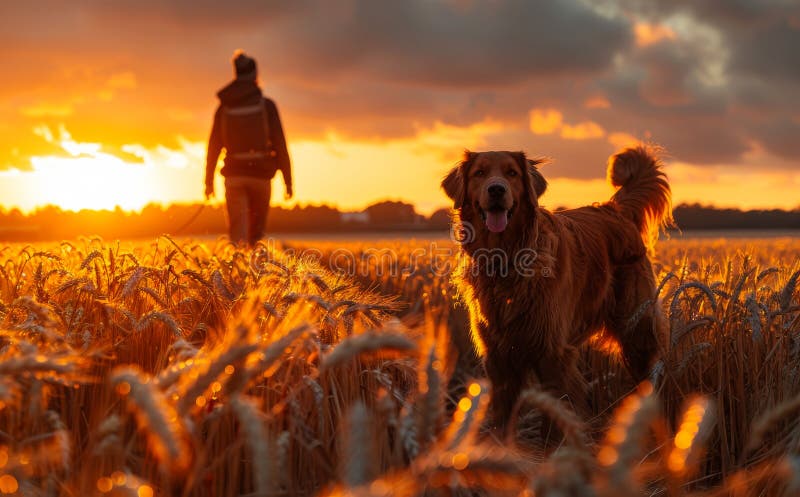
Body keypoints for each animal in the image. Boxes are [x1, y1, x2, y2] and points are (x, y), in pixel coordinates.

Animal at [440, 144, 672, 430]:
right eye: (480, 173)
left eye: (512, 173)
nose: (496, 189)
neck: (505, 258)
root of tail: (614, 210)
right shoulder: (497, 357)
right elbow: (503, 417)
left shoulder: (553, 353)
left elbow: (557, 415)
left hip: (636, 330)